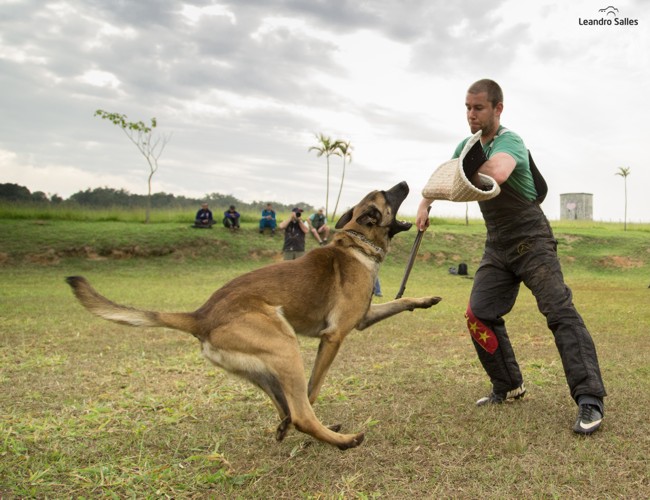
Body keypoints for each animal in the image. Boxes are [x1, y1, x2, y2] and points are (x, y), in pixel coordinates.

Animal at [66, 181, 441, 450]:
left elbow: (402, 301)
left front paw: (426, 299)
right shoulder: (334, 336)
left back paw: (297, 428)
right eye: (388, 194)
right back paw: (342, 440)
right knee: (300, 412)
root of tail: (201, 315)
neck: (357, 243)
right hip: (285, 346)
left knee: (286, 407)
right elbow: (313, 387)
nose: (406, 182)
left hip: (262, 365)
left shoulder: (362, 318)